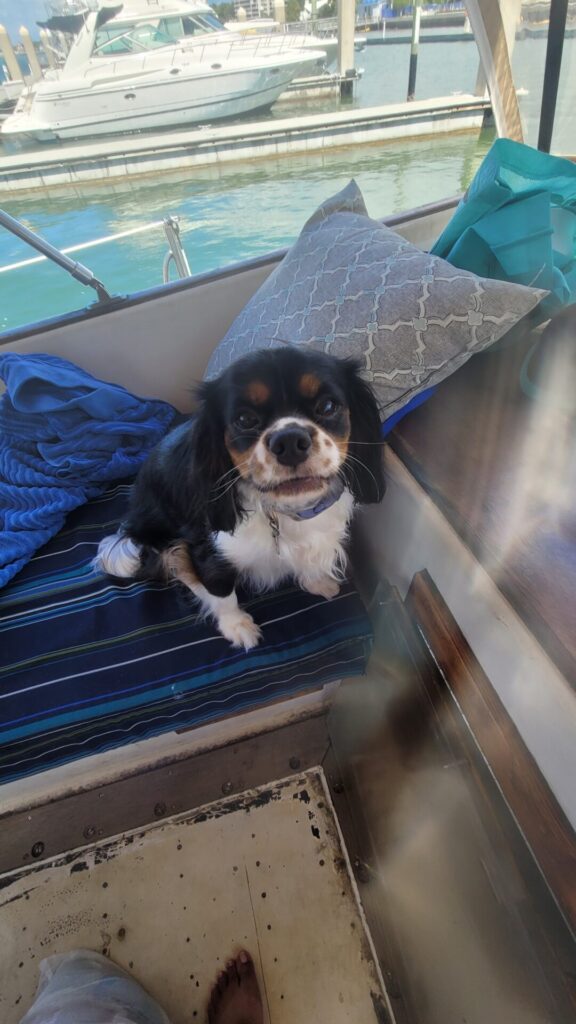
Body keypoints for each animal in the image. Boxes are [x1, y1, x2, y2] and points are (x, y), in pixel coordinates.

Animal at [95, 348, 384, 649]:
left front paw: (316, 581)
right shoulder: (206, 548)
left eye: (328, 406)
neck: (281, 509)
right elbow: (220, 589)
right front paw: (237, 626)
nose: (289, 441)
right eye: (245, 420)